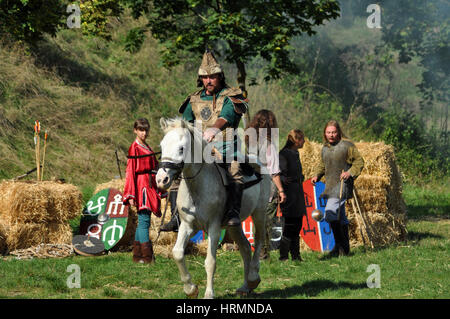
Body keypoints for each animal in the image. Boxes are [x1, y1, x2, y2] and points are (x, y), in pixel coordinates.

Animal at [156, 118, 268, 300]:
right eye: (162, 146)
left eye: (181, 148)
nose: (161, 179)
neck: (197, 186)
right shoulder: (187, 226)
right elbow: (178, 253)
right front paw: (191, 289)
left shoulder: (214, 227)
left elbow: (210, 261)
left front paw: (208, 293)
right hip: (234, 225)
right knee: (245, 248)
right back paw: (245, 287)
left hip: (259, 213)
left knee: (258, 240)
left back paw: (252, 277)